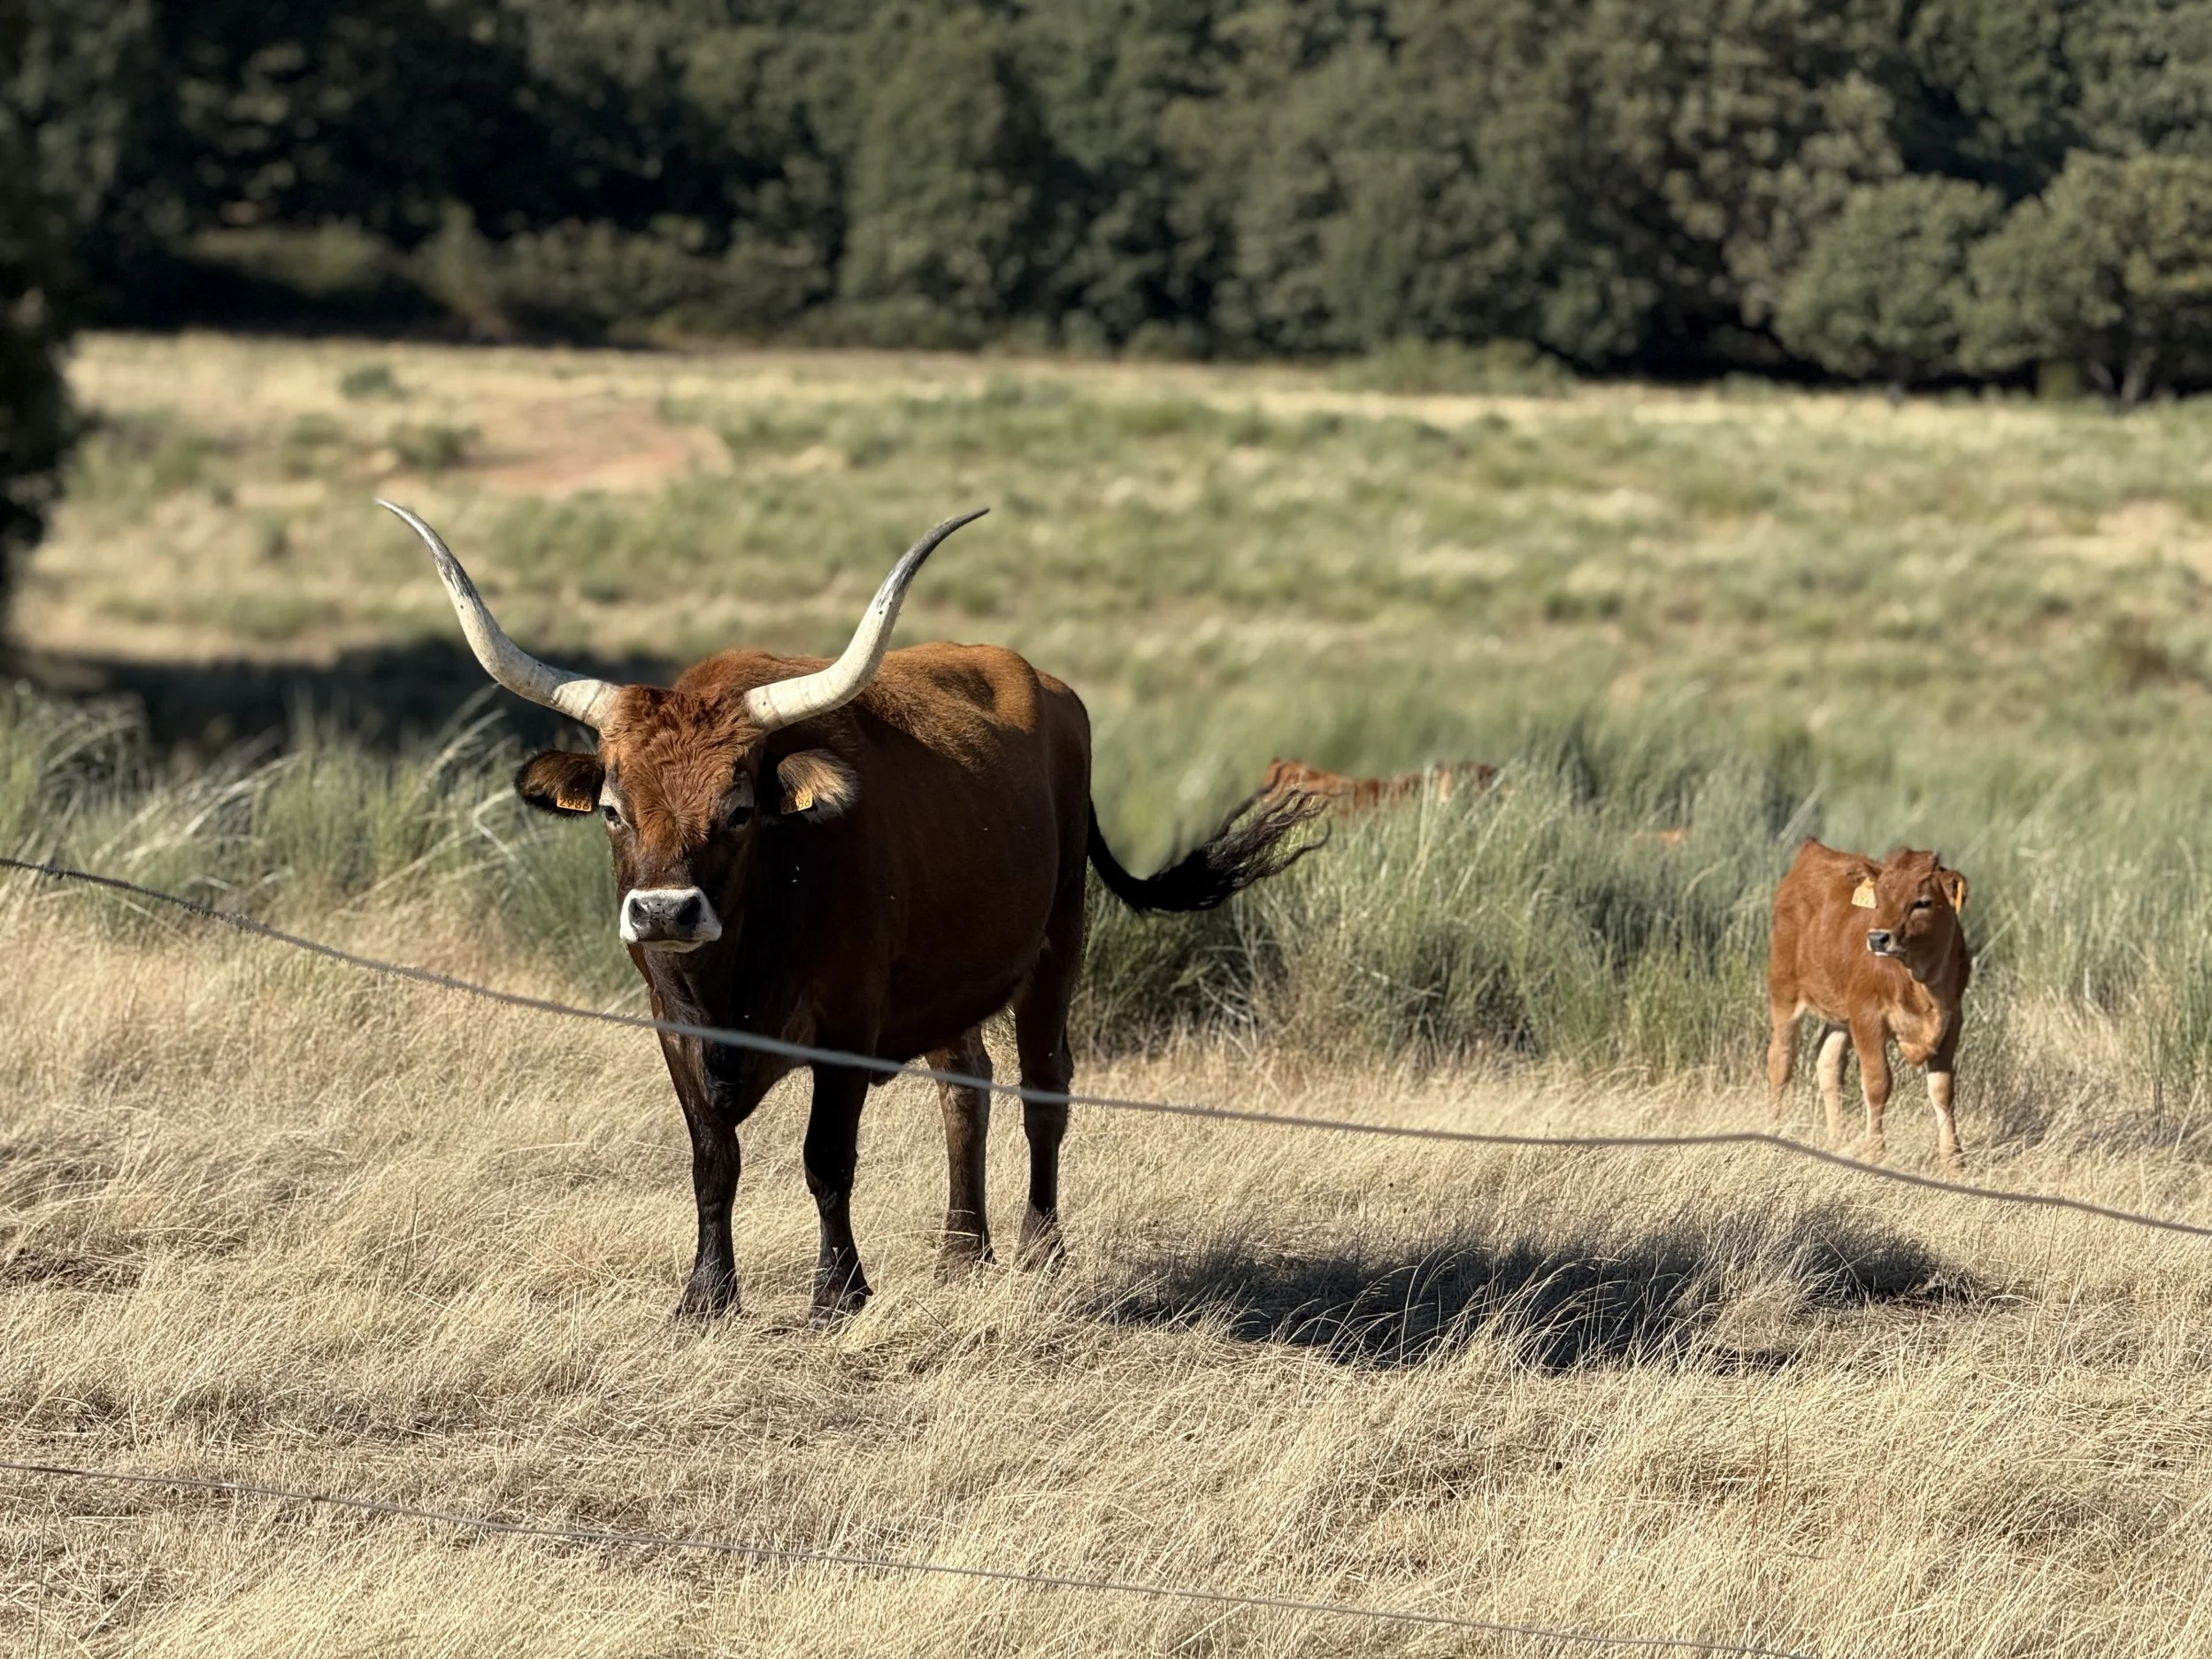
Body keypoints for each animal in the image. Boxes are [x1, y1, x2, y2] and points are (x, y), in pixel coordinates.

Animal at [381, 500, 1320, 1323]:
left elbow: (826, 1157)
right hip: (950, 977)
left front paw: (838, 1294)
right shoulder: (670, 1024)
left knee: (1044, 1090)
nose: (664, 913)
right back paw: (960, 1250)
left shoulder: (847, 1018)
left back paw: (1039, 1248)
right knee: (966, 1085)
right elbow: (712, 1158)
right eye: (613, 810)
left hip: (1058, 941)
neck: (739, 964)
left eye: (739, 810)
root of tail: (1047, 685)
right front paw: (706, 1296)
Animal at [1765, 839, 1972, 1165]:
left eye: (1922, 902)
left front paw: (1954, 1159)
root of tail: (1814, 850)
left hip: (1839, 1015)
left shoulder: (1952, 1020)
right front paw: (1875, 1151)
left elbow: (1943, 1090)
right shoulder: (1867, 1016)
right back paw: (1772, 1128)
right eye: (1879, 898)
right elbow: (1878, 1083)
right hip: (1784, 990)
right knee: (1781, 1060)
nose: (1877, 938)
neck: (1923, 981)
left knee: (1829, 1064)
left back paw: (1835, 1140)